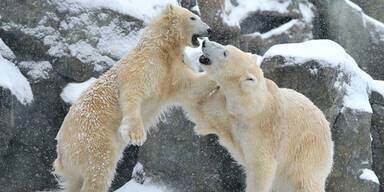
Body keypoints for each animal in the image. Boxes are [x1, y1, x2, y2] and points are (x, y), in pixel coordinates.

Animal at [53, 4, 213, 192]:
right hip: (93, 138)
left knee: (76, 181)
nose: (209, 29)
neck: (162, 48)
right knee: (100, 167)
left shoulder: (171, 72)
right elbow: (133, 91)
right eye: (193, 17)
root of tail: (61, 152)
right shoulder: (145, 63)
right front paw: (136, 135)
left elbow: (191, 86)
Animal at [198, 39, 332, 192]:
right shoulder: (228, 111)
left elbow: (261, 166)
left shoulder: (263, 133)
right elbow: (205, 114)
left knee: (305, 181)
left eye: (225, 53)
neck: (252, 107)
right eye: (226, 46)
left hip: (306, 152)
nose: (204, 42)